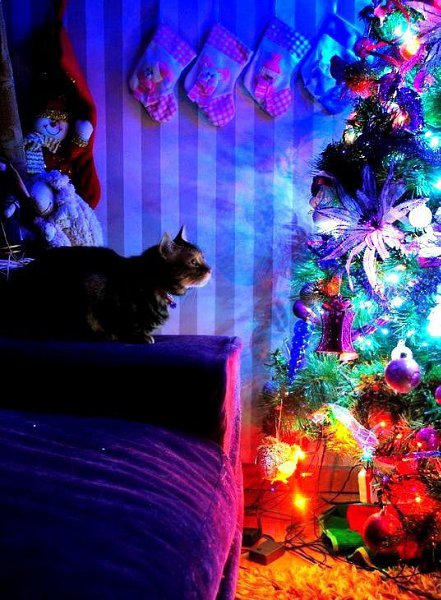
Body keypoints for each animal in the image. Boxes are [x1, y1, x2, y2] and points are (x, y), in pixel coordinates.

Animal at [0, 226, 211, 343]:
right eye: (194, 262)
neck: (151, 283)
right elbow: (126, 323)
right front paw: (138, 336)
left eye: (203, 258)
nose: (210, 269)